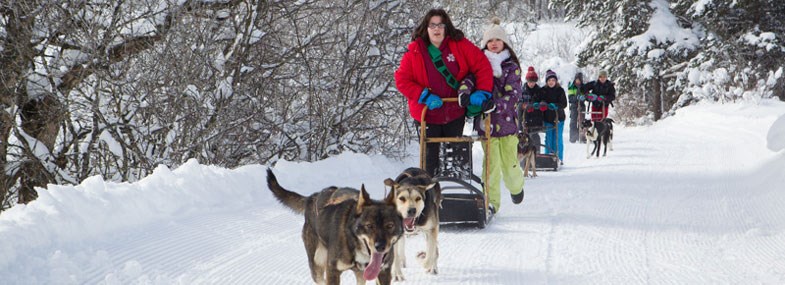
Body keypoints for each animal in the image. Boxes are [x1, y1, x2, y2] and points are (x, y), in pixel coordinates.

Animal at [268, 169, 404, 284]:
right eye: (369, 225)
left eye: (390, 225)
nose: (380, 246)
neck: (353, 242)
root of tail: (312, 197)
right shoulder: (332, 271)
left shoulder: (383, 272)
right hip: (317, 265)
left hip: (360, 274)